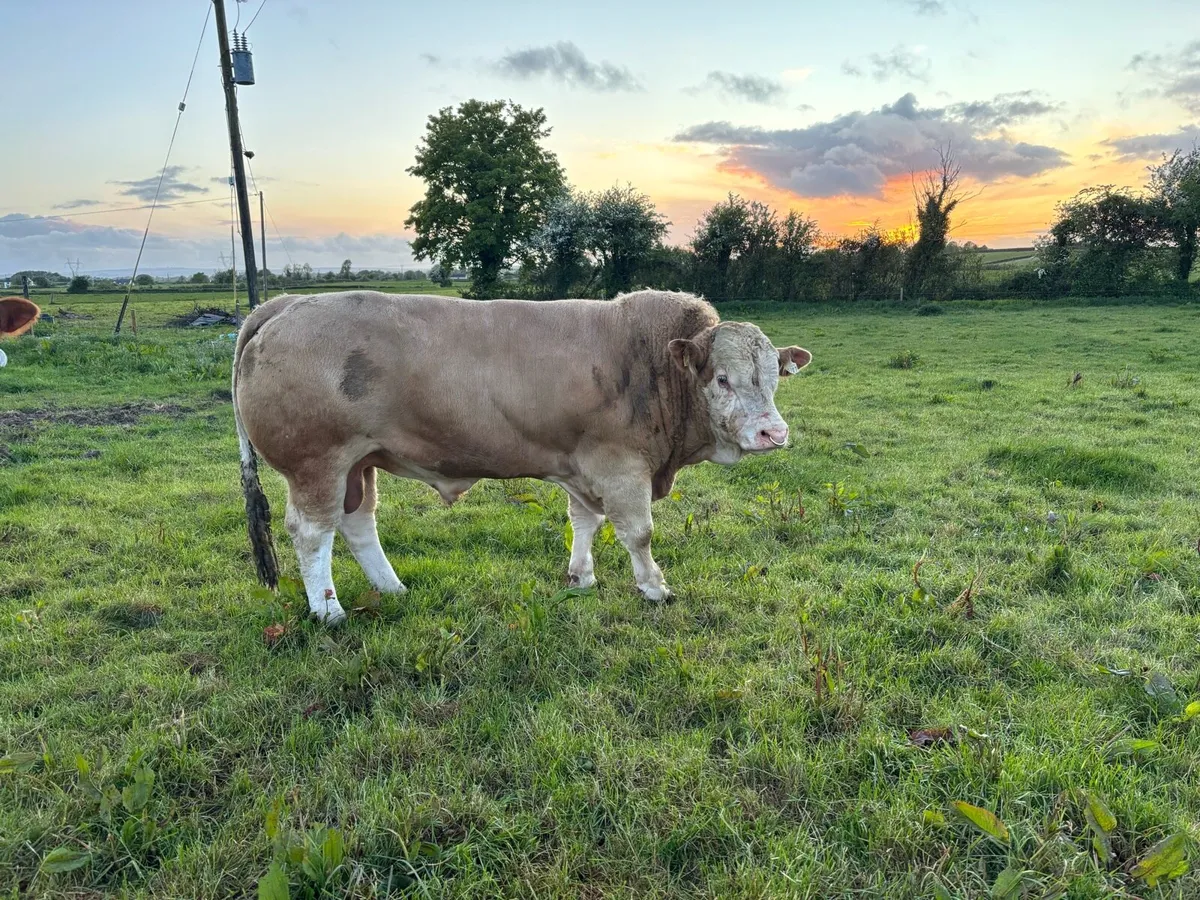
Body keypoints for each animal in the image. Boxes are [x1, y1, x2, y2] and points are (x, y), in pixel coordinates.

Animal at [232, 289, 812, 624]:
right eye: (722, 378)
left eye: (774, 376)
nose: (773, 432)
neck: (654, 366)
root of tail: (283, 304)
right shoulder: (621, 466)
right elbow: (638, 533)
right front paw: (654, 587)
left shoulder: (582, 466)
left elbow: (585, 522)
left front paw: (581, 577)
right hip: (318, 460)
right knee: (312, 532)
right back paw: (328, 611)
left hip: (360, 462)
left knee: (356, 524)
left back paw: (392, 589)